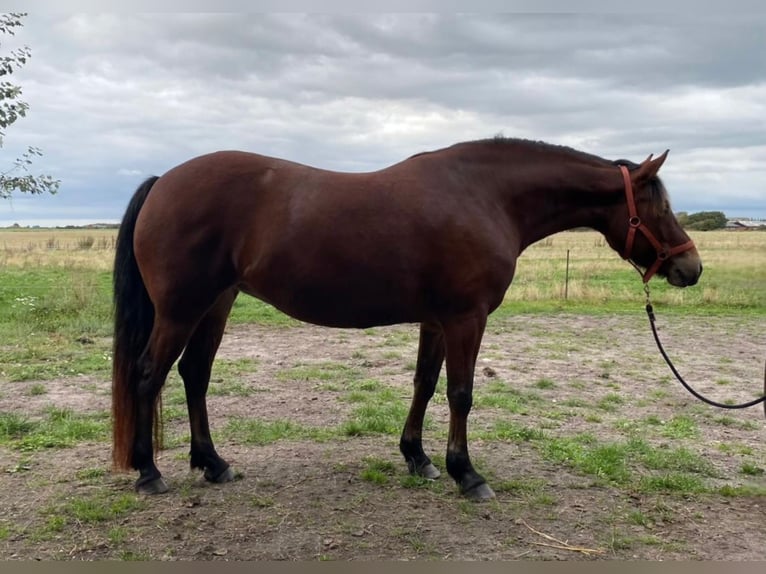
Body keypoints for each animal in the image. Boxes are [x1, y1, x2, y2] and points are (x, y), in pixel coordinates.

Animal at [111, 137, 703, 501]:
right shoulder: (466, 318)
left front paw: (418, 458)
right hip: (182, 309)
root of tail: (165, 181)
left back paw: (213, 464)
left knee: (194, 376)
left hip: (216, 305)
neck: (484, 197)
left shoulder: (436, 321)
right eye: (658, 206)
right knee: (148, 376)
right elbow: (461, 393)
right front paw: (467, 473)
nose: (690, 268)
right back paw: (148, 472)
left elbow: (424, 383)